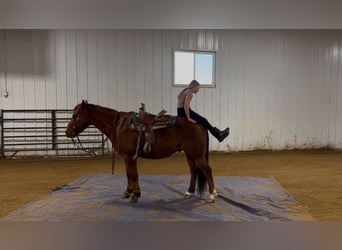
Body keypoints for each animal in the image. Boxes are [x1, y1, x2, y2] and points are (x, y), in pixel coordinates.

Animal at [65, 100, 218, 203]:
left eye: (76, 115)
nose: (67, 132)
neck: (120, 126)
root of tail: (199, 124)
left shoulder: (130, 157)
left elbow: (134, 175)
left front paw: (135, 195)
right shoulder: (126, 157)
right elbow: (128, 174)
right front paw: (128, 192)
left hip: (198, 155)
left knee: (207, 170)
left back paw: (212, 195)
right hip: (190, 155)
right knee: (194, 171)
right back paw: (189, 192)